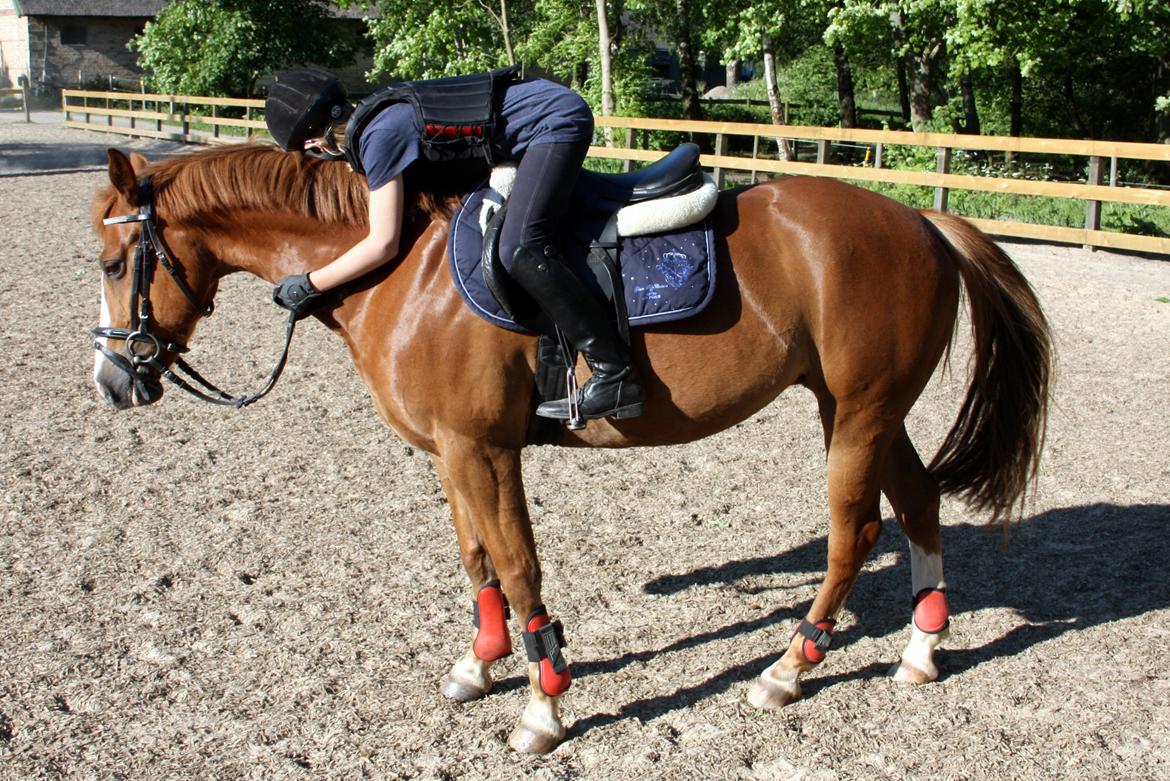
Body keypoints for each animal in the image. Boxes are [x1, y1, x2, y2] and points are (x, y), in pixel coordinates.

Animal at [93, 144, 1053, 748]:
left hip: (856, 412)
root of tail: (920, 221)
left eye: (109, 264)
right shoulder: (451, 452)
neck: (399, 265)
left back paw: (789, 667)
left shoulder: (483, 448)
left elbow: (519, 567)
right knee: (919, 502)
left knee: (855, 532)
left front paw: (542, 706)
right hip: (864, 409)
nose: (113, 380)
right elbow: (476, 557)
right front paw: (481, 662)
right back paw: (922, 648)